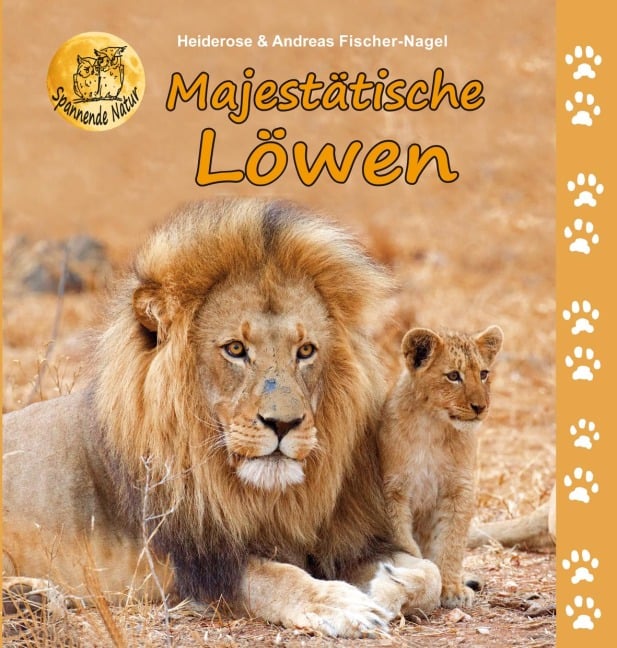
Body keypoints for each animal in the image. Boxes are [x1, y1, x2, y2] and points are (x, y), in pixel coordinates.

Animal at [2, 198, 441, 637]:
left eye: (305, 351)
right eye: (235, 349)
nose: (283, 424)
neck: (266, 497)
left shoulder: (339, 538)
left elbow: (431, 574)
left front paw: (387, 585)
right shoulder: (195, 561)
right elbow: (275, 577)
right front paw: (341, 603)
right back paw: (30, 599)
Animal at [380, 325, 503, 608]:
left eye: (483, 374)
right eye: (454, 376)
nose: (480, 407)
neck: (433, 428)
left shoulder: (458, 489)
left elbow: (451, 542)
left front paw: (452, 589)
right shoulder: (392, 491)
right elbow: (405, 542)